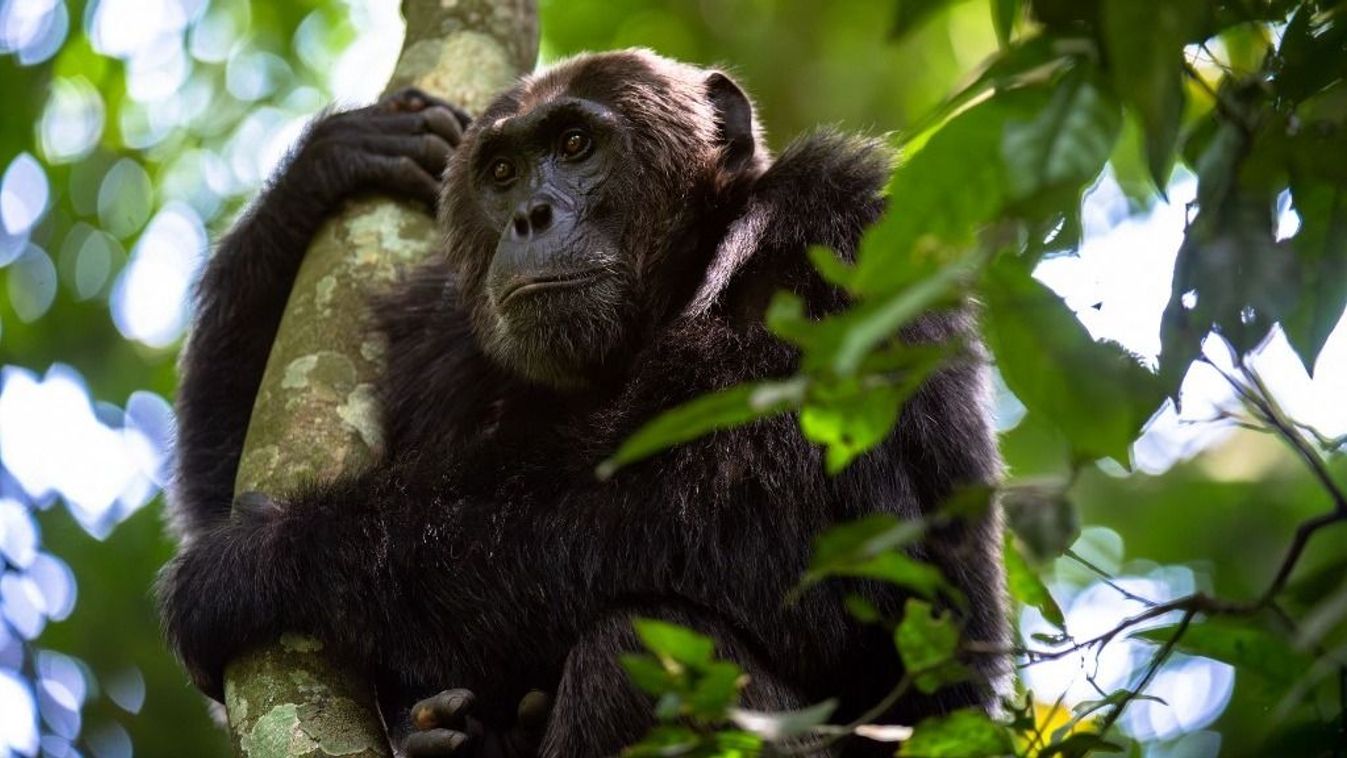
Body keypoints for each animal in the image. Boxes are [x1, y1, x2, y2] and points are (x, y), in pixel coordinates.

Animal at [157, 50, 1007, 753]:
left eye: (574, 145)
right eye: (502, 171)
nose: (530, 216)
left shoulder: (831, 237)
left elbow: (784, 525)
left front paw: (265, 557)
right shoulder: (439, 328)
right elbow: (229, 467)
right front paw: (331, 162)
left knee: (636, 643)